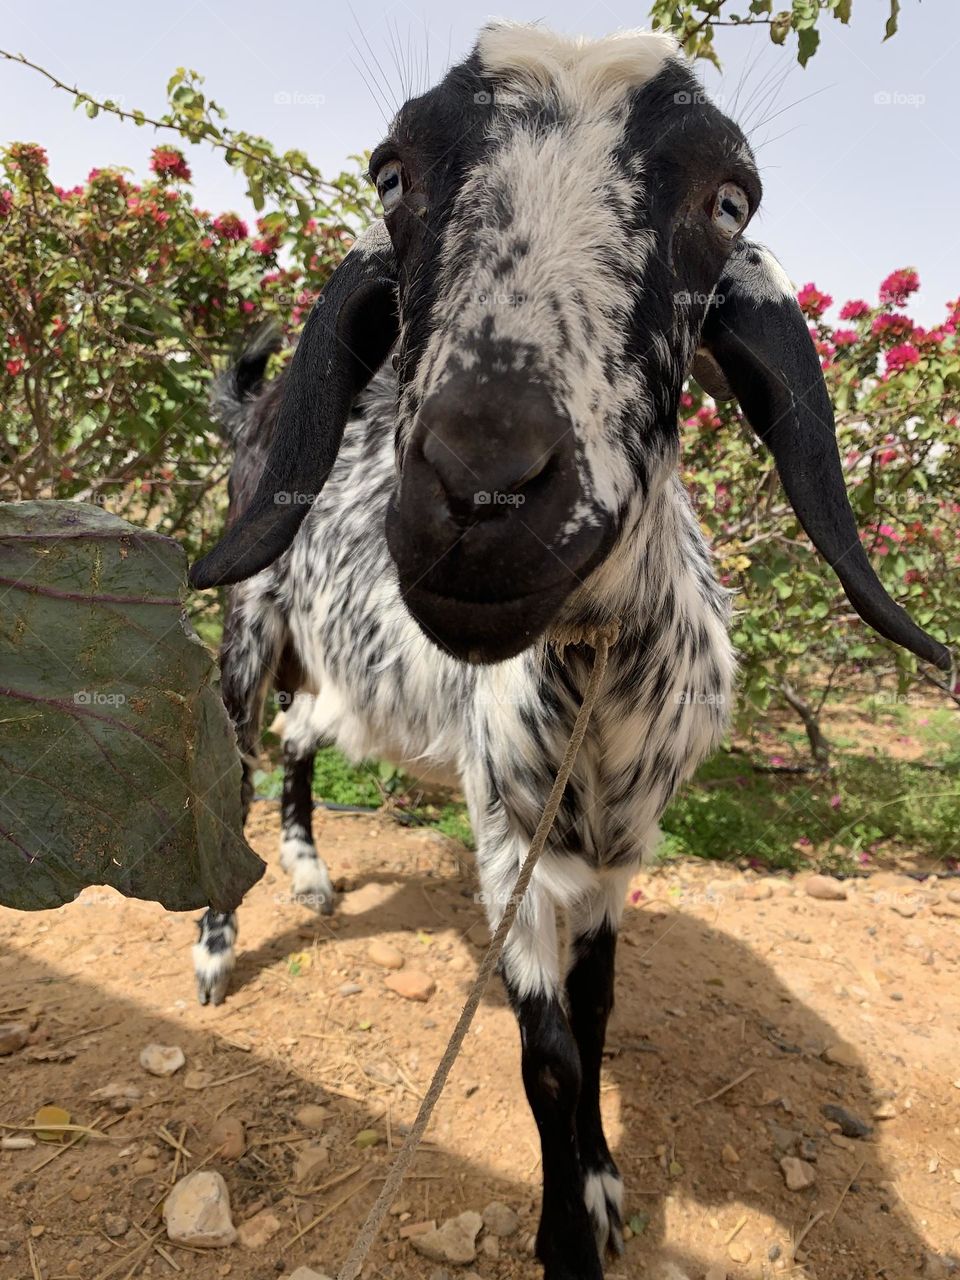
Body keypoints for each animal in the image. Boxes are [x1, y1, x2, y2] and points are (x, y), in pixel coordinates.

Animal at [189, 24, 951, 1280]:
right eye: (391, 174)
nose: (482, 489)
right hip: (255, 624)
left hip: (352, 674)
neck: (595, 684)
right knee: (242, 758)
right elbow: (545, 1054)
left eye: (730, 198)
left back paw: (307, 873)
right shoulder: (511, 840)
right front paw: (566, 1227)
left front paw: (598, 1181)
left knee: (304, 737)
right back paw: (214, 948)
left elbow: (594, 1019)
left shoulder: (617, 852)